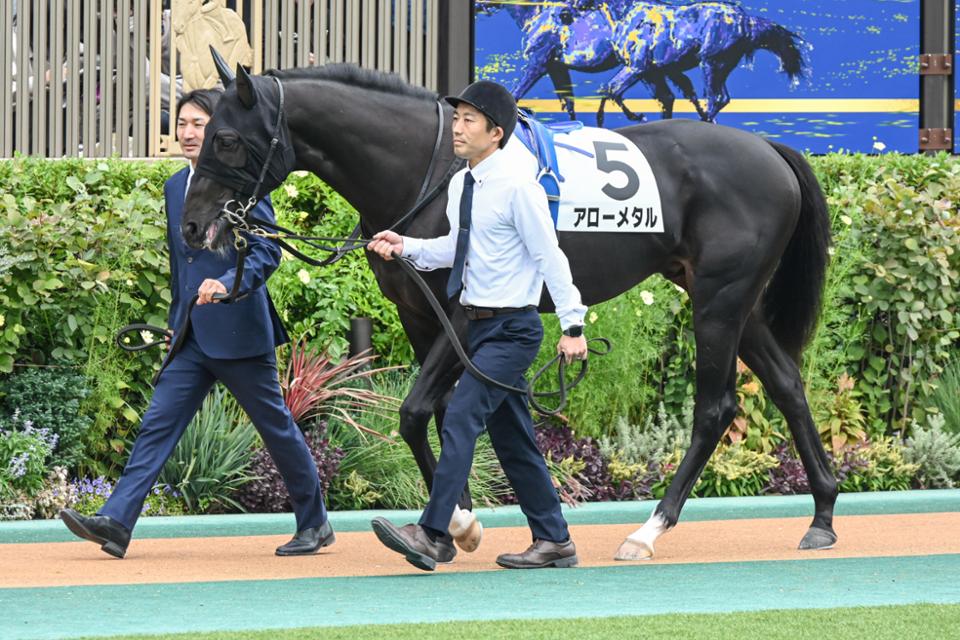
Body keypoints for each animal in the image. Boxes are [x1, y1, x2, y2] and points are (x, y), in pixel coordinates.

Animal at [182, 59, 838, 560]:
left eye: (227, 139)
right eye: (204, 132)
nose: (191, 226)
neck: (429, 166)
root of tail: (770, 149)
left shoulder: (461, 311)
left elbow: (416, 412)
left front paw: (453, 524)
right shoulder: (420, 316)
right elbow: (441, 413)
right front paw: (458, 522)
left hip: (720, 301)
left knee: (715, 407)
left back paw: (648, 530)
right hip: (730, 300)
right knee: (787, 384)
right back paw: (823, 514)